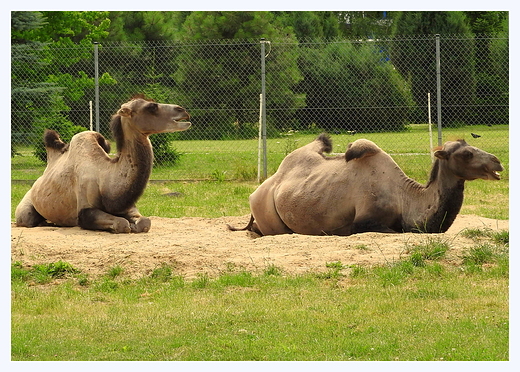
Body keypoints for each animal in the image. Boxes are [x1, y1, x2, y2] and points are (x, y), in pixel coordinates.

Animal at [15, 97, 192, 234]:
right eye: (151, 107)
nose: (183, 110)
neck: (105, 176)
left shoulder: (126, 206)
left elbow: (145, 222)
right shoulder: (85, 210)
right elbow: (121, 223)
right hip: (25, 209)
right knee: (27, 218)